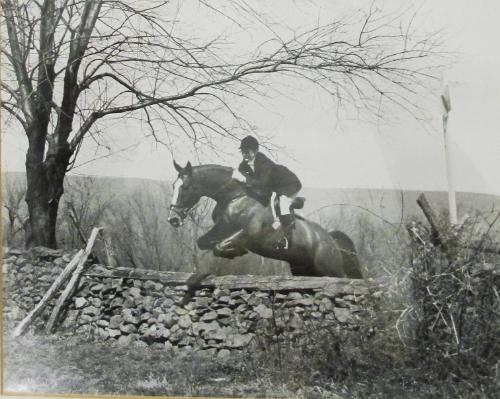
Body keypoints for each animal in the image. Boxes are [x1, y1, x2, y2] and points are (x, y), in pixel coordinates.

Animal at [168, 159, 364, 278]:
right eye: (173, 186)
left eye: (185, 187)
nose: (173, 219)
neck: (234, 197)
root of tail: (331, 240)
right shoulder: (222, 229)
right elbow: (205, 242)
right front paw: (233, 251)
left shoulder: (252, 233)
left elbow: (221, 245)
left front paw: (235, 250)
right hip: (303, 269)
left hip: (328, 268)